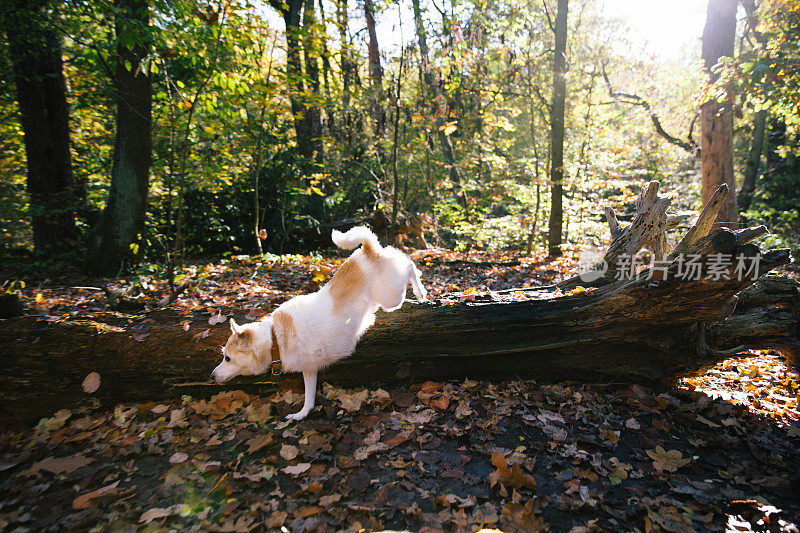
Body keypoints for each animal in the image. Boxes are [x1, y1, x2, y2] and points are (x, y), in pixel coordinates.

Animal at [209, 227, 428, 418]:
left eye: (227, 358)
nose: (211, 376)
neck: (275, 338)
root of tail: (368, 250)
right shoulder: (309, 370)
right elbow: (309, 399)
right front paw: (301, 415)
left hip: (392, 295)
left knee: (410, 266)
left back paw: (421, 292)